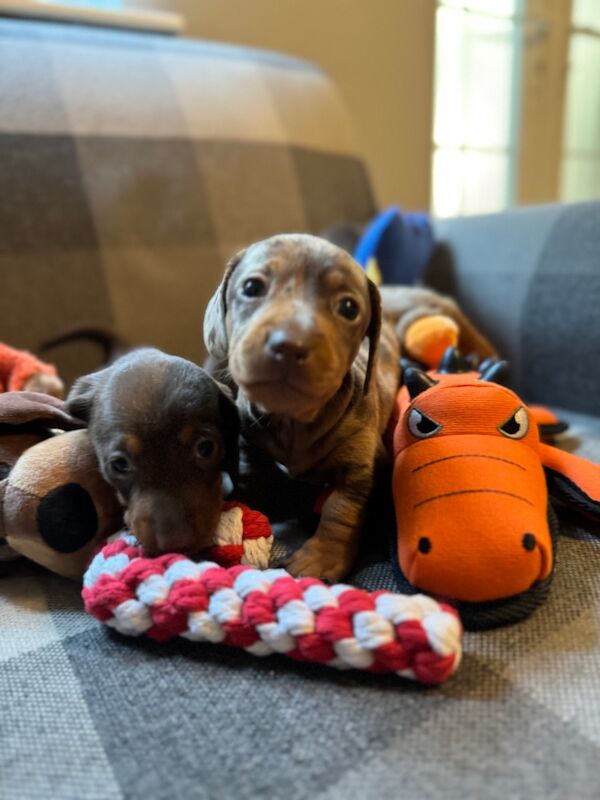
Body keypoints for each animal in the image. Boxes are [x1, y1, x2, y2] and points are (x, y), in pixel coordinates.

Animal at [204, 233, 400, 580]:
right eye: (252, 287)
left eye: (349, 308)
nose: (289, 344)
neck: (292, 420)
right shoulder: (249, 447)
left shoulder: (362, 464)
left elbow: (341, 509)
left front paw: (321, 558)